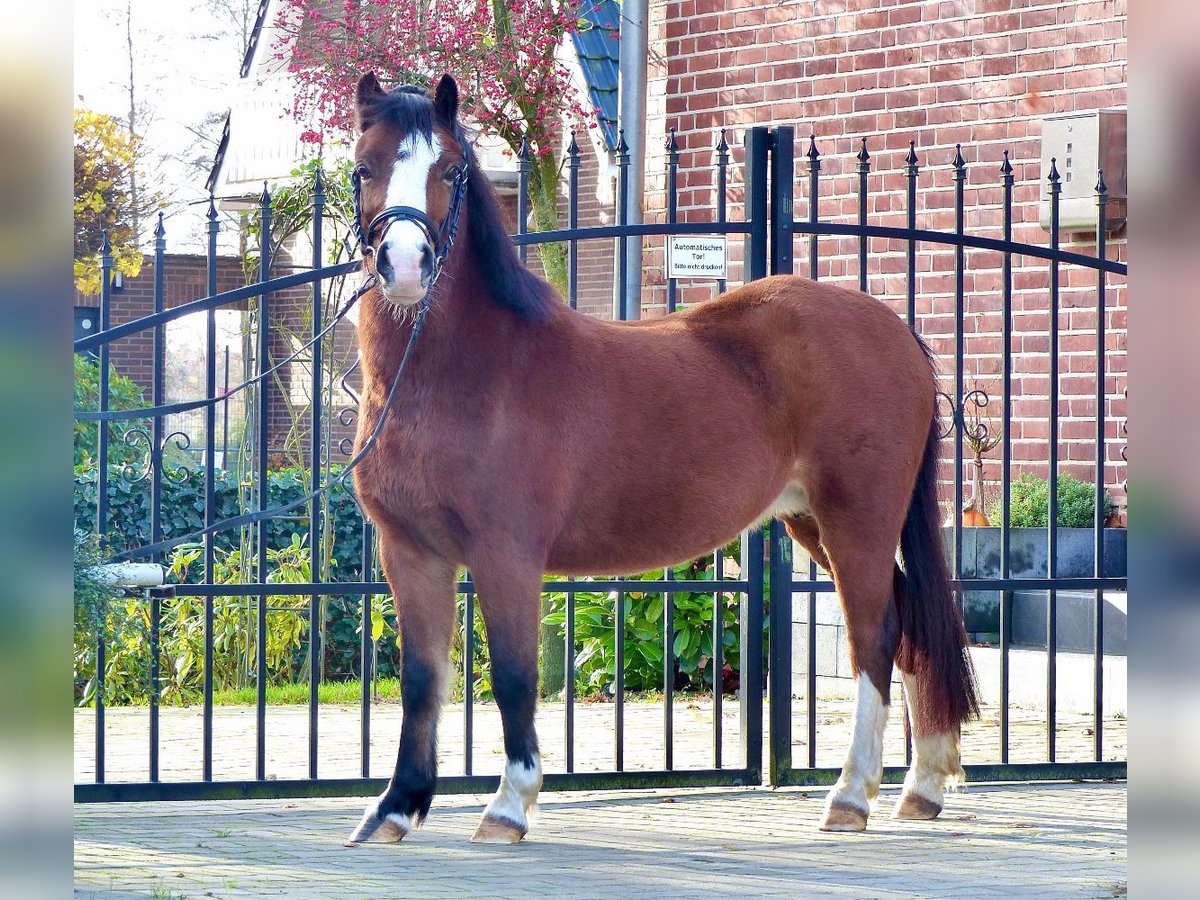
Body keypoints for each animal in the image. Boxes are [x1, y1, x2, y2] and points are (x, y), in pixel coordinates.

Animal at [343, 75, 969, 844]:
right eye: (364, 168)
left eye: (453, 171)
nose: (404, 266)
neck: (462, 376)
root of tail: (898, 333)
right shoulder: (410, 552)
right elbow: (421, 679)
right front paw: (395, 809)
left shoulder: (505, 553)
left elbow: (515, 675)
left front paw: (509, 805)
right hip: (812, 522)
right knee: (910, 624)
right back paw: (924, 784)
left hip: (859, 520)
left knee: (875, 637)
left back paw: (851, 796)